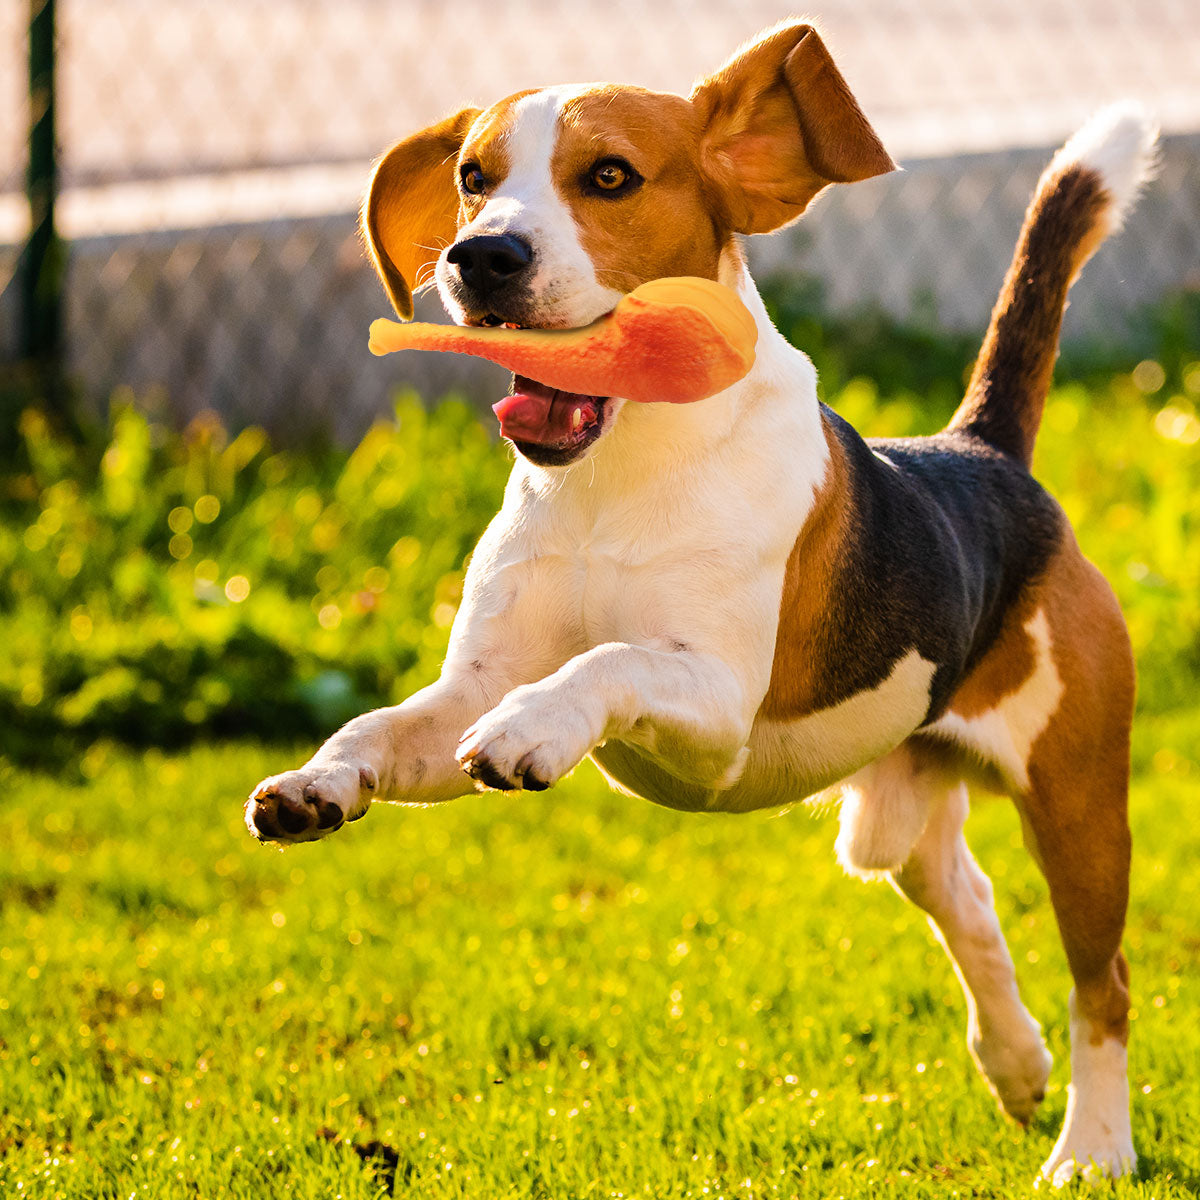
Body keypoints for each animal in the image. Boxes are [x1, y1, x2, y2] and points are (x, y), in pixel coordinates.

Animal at [243, 21, 1152, 1190]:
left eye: (610, 177)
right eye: (472, 180)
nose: (480, 256)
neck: (613, 472)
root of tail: (983, 453)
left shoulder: (715, 711)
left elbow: (606, 662)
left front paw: (538, 731)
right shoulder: (466, 691)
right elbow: (380, 726)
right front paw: (315, 783)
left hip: (1079, 806)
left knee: (1103, 984)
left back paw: (1092, 1147)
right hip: (898, 807)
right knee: (969, 900)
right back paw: (1014, 1062)